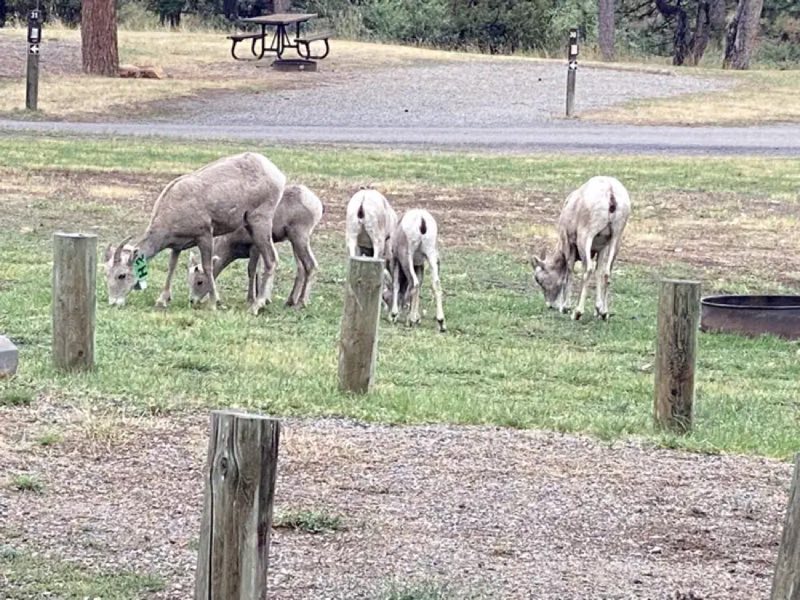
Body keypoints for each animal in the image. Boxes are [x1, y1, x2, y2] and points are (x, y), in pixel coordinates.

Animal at [104, 152, 286, 315]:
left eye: (121, 275)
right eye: (106, 273)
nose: (113, 302)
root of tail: (277, 174)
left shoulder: (205, 236)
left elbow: (207, 267)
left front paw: (214, 303)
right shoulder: (177, 246)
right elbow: (172, 266)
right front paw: (162, 300)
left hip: (260, 222)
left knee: (271, 260)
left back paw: (256, 306)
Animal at [186, 184, 324, 308]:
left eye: (199, 282)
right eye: (189, 280)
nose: (192, 301)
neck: (231, 244)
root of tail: (317, 203)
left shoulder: (254, 247)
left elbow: (252, 270)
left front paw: (252, 299)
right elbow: (260, 270)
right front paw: (264, 299)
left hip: (300, 236)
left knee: (311, 264)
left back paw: (301, 303)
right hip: (293, 239)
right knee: (301, 267)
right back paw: (290, 301)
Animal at [531, 175, 631, 321]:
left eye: (538, 279)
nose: (550, 305)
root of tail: (610, 192)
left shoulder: (569, 243)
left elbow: (569, 271)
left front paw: (565, 307)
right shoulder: (602, 248)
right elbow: (599, 272)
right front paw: (597, 310)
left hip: (586, 236)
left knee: (588, 269)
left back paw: (577, 312)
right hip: (616, 237)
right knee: (607, 272)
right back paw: (604, 313)